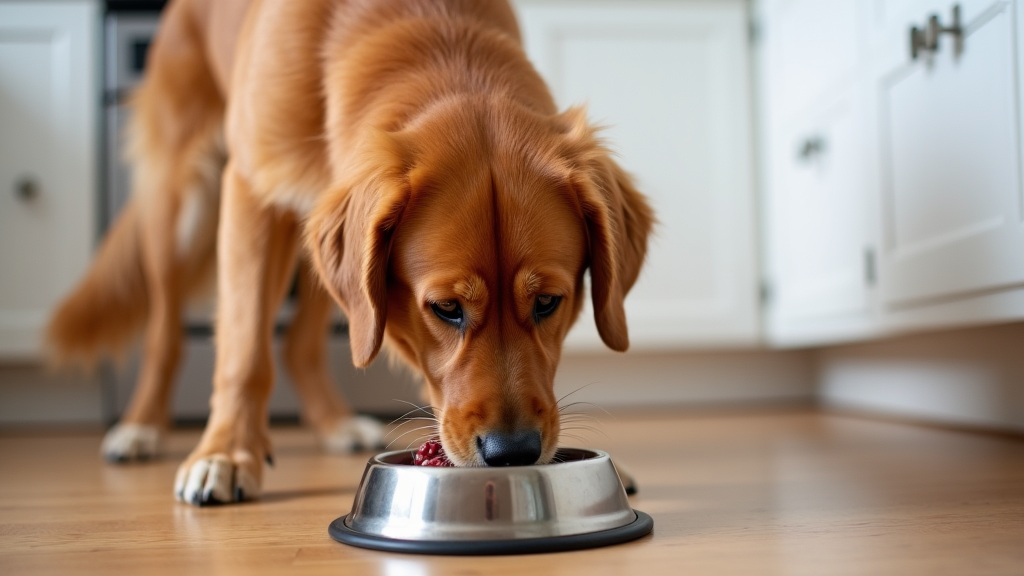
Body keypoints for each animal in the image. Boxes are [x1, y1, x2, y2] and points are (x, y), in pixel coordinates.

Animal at [46, 0, 647, 502]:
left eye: (548, 303)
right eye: (446, 309)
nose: (513, 453)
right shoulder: (251, 195)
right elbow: (243, 348)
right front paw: (226, 453)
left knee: (301, 344)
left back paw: (336, 423)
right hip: (182, 203)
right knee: (165, 335)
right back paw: (140, 426)